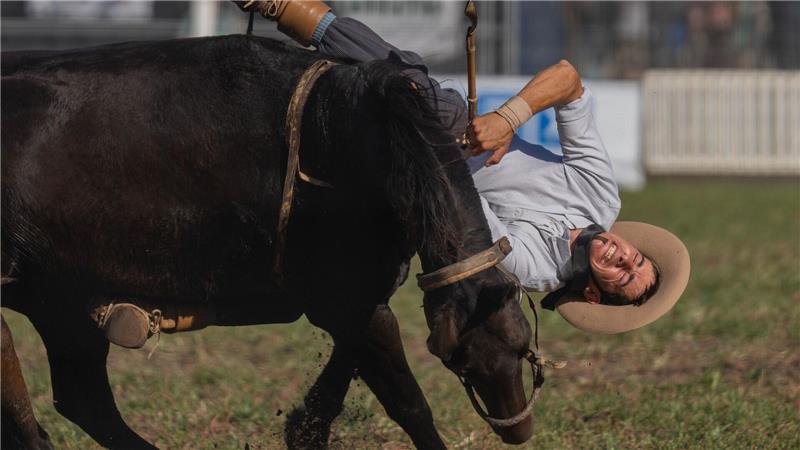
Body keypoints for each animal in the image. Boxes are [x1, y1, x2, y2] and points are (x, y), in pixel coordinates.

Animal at [1, 34, 538, 449]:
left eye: (520, 342)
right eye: (462, 359)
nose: (518, 427)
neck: (343, 133)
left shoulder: (359, 300)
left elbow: (339, 377)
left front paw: (306, 428)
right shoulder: (346, 301)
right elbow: (409, 403)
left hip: (60, 303)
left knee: (83, 400)